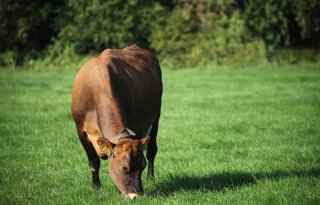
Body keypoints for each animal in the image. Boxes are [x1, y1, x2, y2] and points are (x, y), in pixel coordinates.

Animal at [72, 44, 162, 199]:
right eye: (124, 167)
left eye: (142, 165)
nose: (136, 194)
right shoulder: (80, 128)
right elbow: (93, 162)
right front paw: (96, 186)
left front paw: (117, 190)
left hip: (156, 116)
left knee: (151, 149)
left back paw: (151, 177)